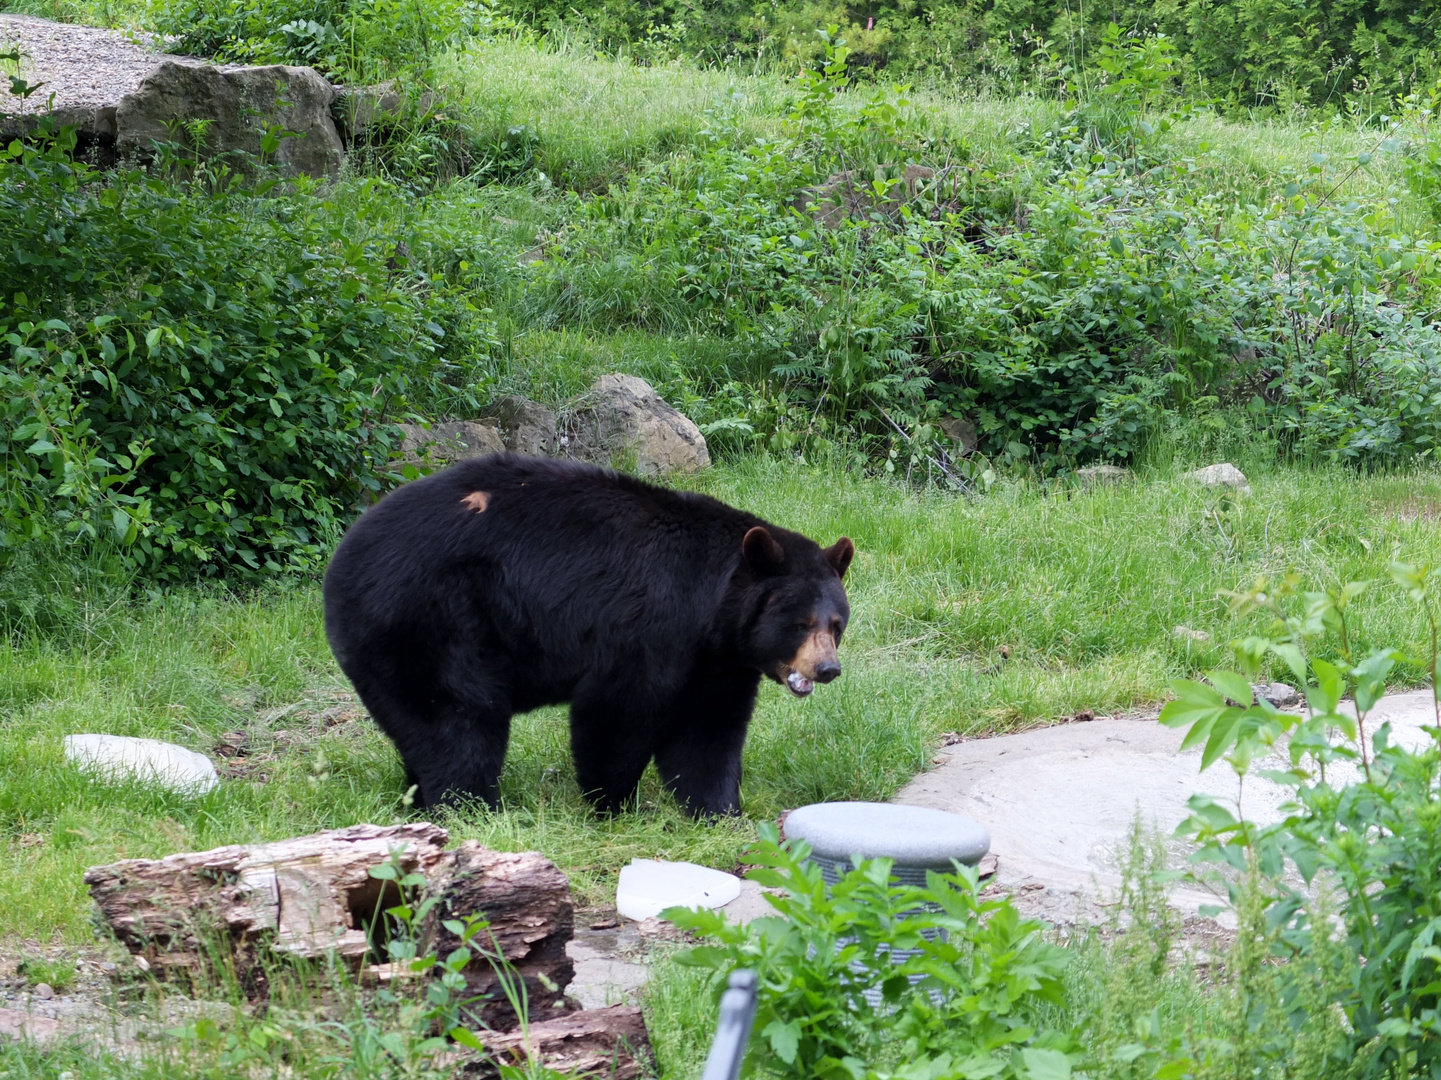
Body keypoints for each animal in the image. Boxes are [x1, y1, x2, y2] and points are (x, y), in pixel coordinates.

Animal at [321, 449, 847, 813]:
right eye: (799, 623)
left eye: (836, 623)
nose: (827, 669)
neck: (710, 610)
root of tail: (340, 565)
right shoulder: (650, 626)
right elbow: (617, 711)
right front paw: (616, 805)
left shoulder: (719, 663)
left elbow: (709, 730)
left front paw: (718, 810)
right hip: (429, 622)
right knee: (459, 721)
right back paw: (472, 808)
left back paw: (417, 801)